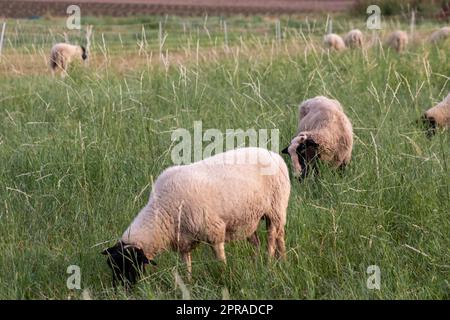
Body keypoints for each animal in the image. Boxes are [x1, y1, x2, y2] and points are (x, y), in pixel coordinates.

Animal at [101, 148, 292, 288]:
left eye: (129, 264)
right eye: (112, 265)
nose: (120, 289)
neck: (163, 208)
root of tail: (274, 154)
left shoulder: (215, 230)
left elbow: (220, 259)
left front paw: (223, 276)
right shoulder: (182, 239)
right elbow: (186, 264)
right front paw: (188, 282)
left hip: (276, 208)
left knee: (272, 238)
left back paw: (269, 263)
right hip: (251, 217)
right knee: (271, 239)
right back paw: (273, 262)